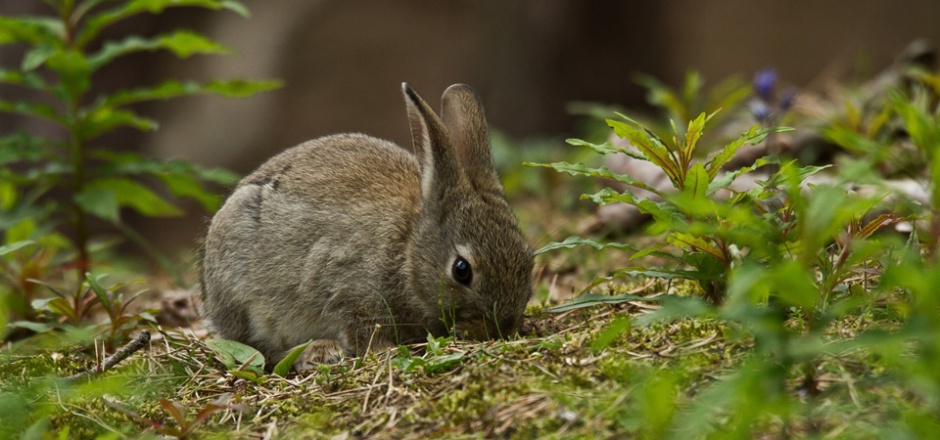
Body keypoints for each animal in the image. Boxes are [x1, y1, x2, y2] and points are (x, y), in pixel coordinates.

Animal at [199, 83, 536, 372]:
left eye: (529, 259)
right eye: (461, 270)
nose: (503, 328)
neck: (408, 249)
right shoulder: (347, 292)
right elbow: (362, 330)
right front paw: (387, 353)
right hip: (241, 293)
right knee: (258, 348)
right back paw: (319, 352)